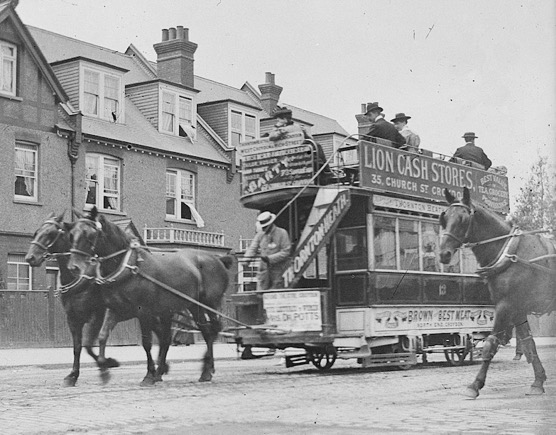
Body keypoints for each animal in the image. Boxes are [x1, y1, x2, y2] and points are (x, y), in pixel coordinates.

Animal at [24, 213, 120, 386]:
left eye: (50, 233)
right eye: (36, 232)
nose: (30, 258)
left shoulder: (97, 315)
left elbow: (88, 346)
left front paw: (107, 365)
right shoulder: (73, 318)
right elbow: (77, 347)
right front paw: (73, 375)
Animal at [67, 208, 232, 384]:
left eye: (90, 235)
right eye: (72, 234)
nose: (74, 267)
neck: (129, 266)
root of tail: (217, 259)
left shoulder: (144, 312)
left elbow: (146, 343)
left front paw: (148, 374)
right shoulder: (116, 310)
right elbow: (103, 336)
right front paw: (105, 368)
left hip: (209, 303)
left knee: (213, 330)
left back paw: (206, 369)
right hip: (193, 306)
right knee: (204, 332)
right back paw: (199, 370)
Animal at [438, 187, 556, 398]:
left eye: (462, 219)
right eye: (444, 217)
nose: (444, 254)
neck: (508, 252)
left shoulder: (505, 306)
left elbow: (490, 344)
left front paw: (475, 385)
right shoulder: (517, 309)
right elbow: (529, 343)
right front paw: (538, 381)